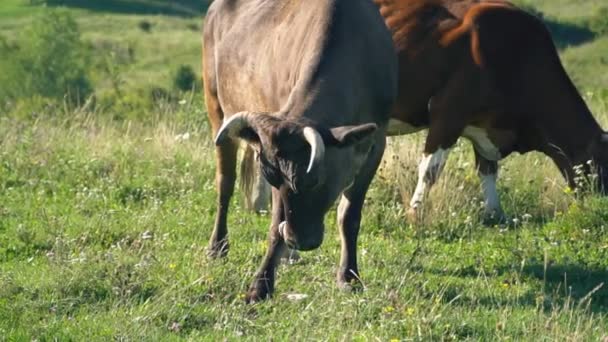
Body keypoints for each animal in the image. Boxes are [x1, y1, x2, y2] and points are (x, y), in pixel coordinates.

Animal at [202, 0, 396, 302]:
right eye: (273, 179)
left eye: (314, 180)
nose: (297, 239)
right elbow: (275, 225)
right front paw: (261, 284)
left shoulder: (377, 143)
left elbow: (349, 216)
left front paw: (349, 277)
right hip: (216, 108)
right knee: (225, 184)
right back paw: (218, 245)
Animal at [240, 0, 608, 224]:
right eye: (604, 166)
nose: (601, 207)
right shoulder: (448, 113)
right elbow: (430, 169)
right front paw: (415, 213)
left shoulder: (482, 125)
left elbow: (488, 168)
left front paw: (495, 213)